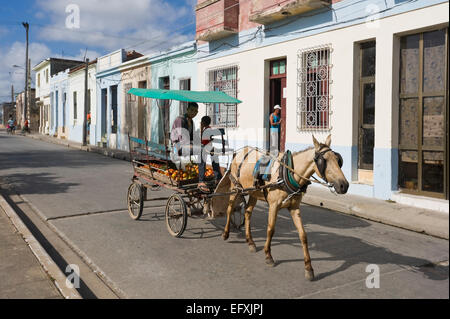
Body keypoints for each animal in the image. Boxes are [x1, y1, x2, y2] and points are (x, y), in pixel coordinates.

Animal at [217, 135, 348, 282]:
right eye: (323, 161)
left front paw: (308, 268)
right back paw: (226, 233)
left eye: (338, 160)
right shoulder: (273, 205)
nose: (344, 185)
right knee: (229, 209)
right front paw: (268, 255)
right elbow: (270, 229)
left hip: (254, 192)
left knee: (247, 213)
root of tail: (239, 152)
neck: (288, 172)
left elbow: (303, 235)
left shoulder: (294, 208)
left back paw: (250, 242)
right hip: (236, 188)